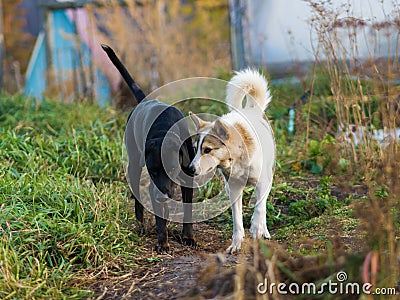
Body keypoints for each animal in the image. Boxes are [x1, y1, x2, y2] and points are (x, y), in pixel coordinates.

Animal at [101, 43, 195, 252]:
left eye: (172, 169)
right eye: (152, 171)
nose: (161, 197)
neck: (165, 131)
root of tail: (144, 101)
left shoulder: (187, 179)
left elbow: (187, 210)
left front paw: (188, 236)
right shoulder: (154, 183)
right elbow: (159, 218)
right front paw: (162, 241)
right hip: (134, 165)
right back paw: (141, 225)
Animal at [188, 69, 276, 254]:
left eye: (207, 150)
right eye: (195, 148)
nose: (190, 169)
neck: (237, 160)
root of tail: (251, 109)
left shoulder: (263, 182)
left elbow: (259, 207)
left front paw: (256, 227)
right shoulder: (233, 189)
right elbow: (237, 219)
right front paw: (236, 243)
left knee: (263, 204)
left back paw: (262, 230)